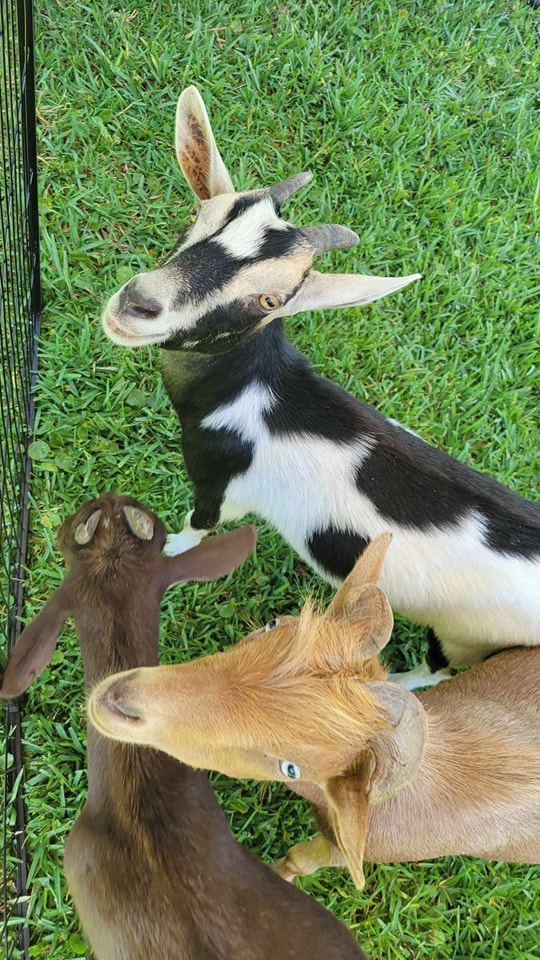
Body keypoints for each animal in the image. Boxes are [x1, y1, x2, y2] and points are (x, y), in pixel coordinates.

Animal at [102, 86, 540, 688]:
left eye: (270, 298)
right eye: (196, 215)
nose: (136, 304)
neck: (253, 392)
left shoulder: (220, 485)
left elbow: (194, 531)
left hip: (465, 637)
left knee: (436, 670)